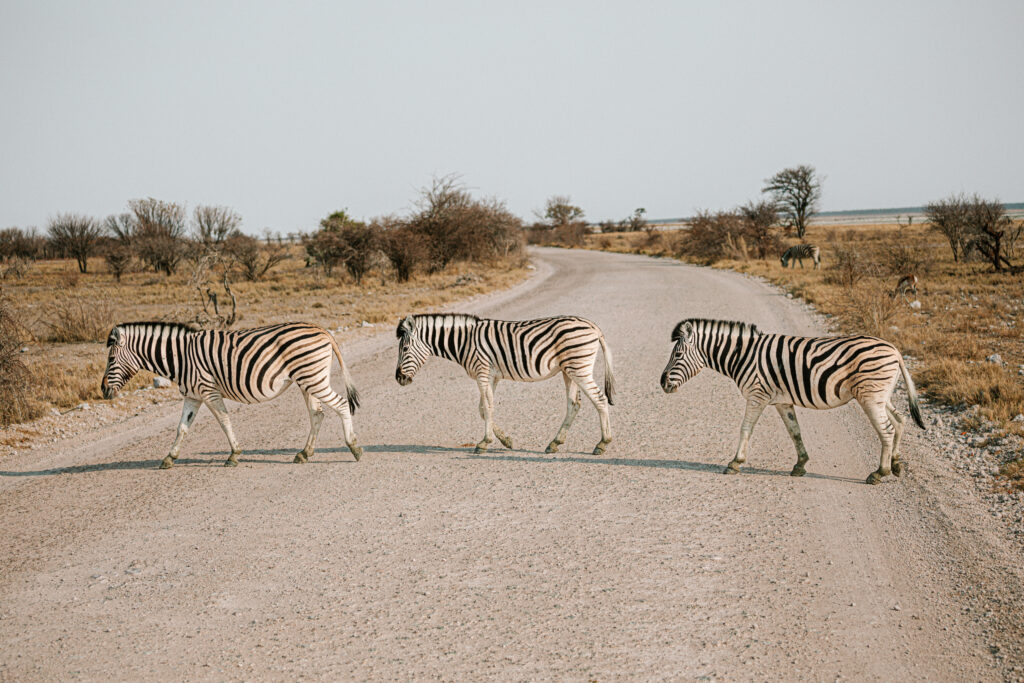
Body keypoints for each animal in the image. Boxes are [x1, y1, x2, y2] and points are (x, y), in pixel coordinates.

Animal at [101, 321, 362, 468]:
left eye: (111, 359)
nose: (102, 390)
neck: (181, 358)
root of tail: (322, 330)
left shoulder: (208, 391)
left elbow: (225, 421)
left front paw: (234, 455)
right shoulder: (192, 396)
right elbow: (182, 428)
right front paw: (169, 458)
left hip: (312, 378)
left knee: (341, 404)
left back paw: (354, 448)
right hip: (308, 380)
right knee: (317, 414)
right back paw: (304, 454)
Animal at [394, 313, 615, 455]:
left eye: (404, 349)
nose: (398, 378)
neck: (464, 341)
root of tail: (594, 327)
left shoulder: (483, 373)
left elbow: (487, 407)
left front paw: (484, 443)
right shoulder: (492, 377)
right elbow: (484, 409)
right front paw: (505, 440)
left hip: (579, 368)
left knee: (600, 399)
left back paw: (602, 444)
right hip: (569, 371)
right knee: (574, 404)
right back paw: (554, 443)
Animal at [659, 318, 925, 485]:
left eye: (678, 355)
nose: (662, 383)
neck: (742, 356)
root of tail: (895, 350)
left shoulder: (757, 395)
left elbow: (745, 429)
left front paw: (735, 462)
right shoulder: (781, 401)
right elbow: (794, 431)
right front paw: (800, 465)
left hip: (870, 396)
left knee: (887, 430)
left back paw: (879, 473)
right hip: (881, 396)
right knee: (900, 421)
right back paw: (896, 464)